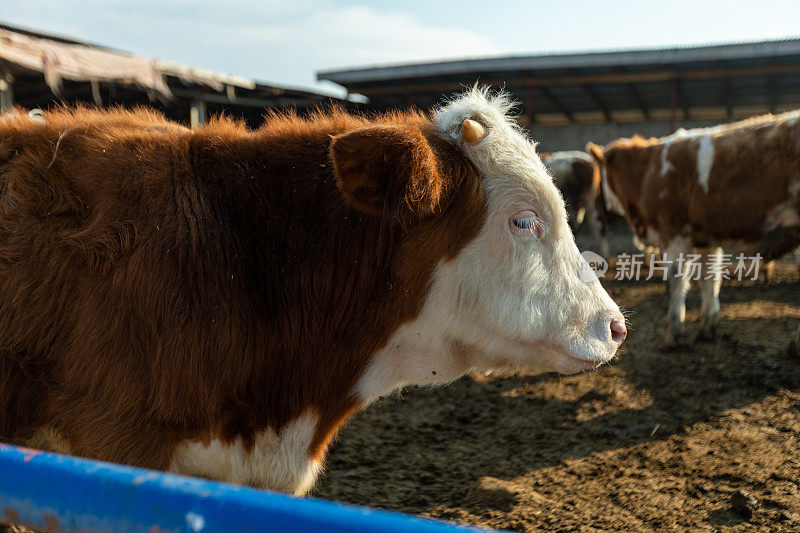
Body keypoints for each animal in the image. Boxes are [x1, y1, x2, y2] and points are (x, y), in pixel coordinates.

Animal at [588, 110, 800, 348]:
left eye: (600, 177)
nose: (598, 206)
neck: (648, 172)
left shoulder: (674, 235)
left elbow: (677, 282)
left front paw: (672, 334)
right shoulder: (705, 240)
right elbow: (710, 280)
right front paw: (708, 327)